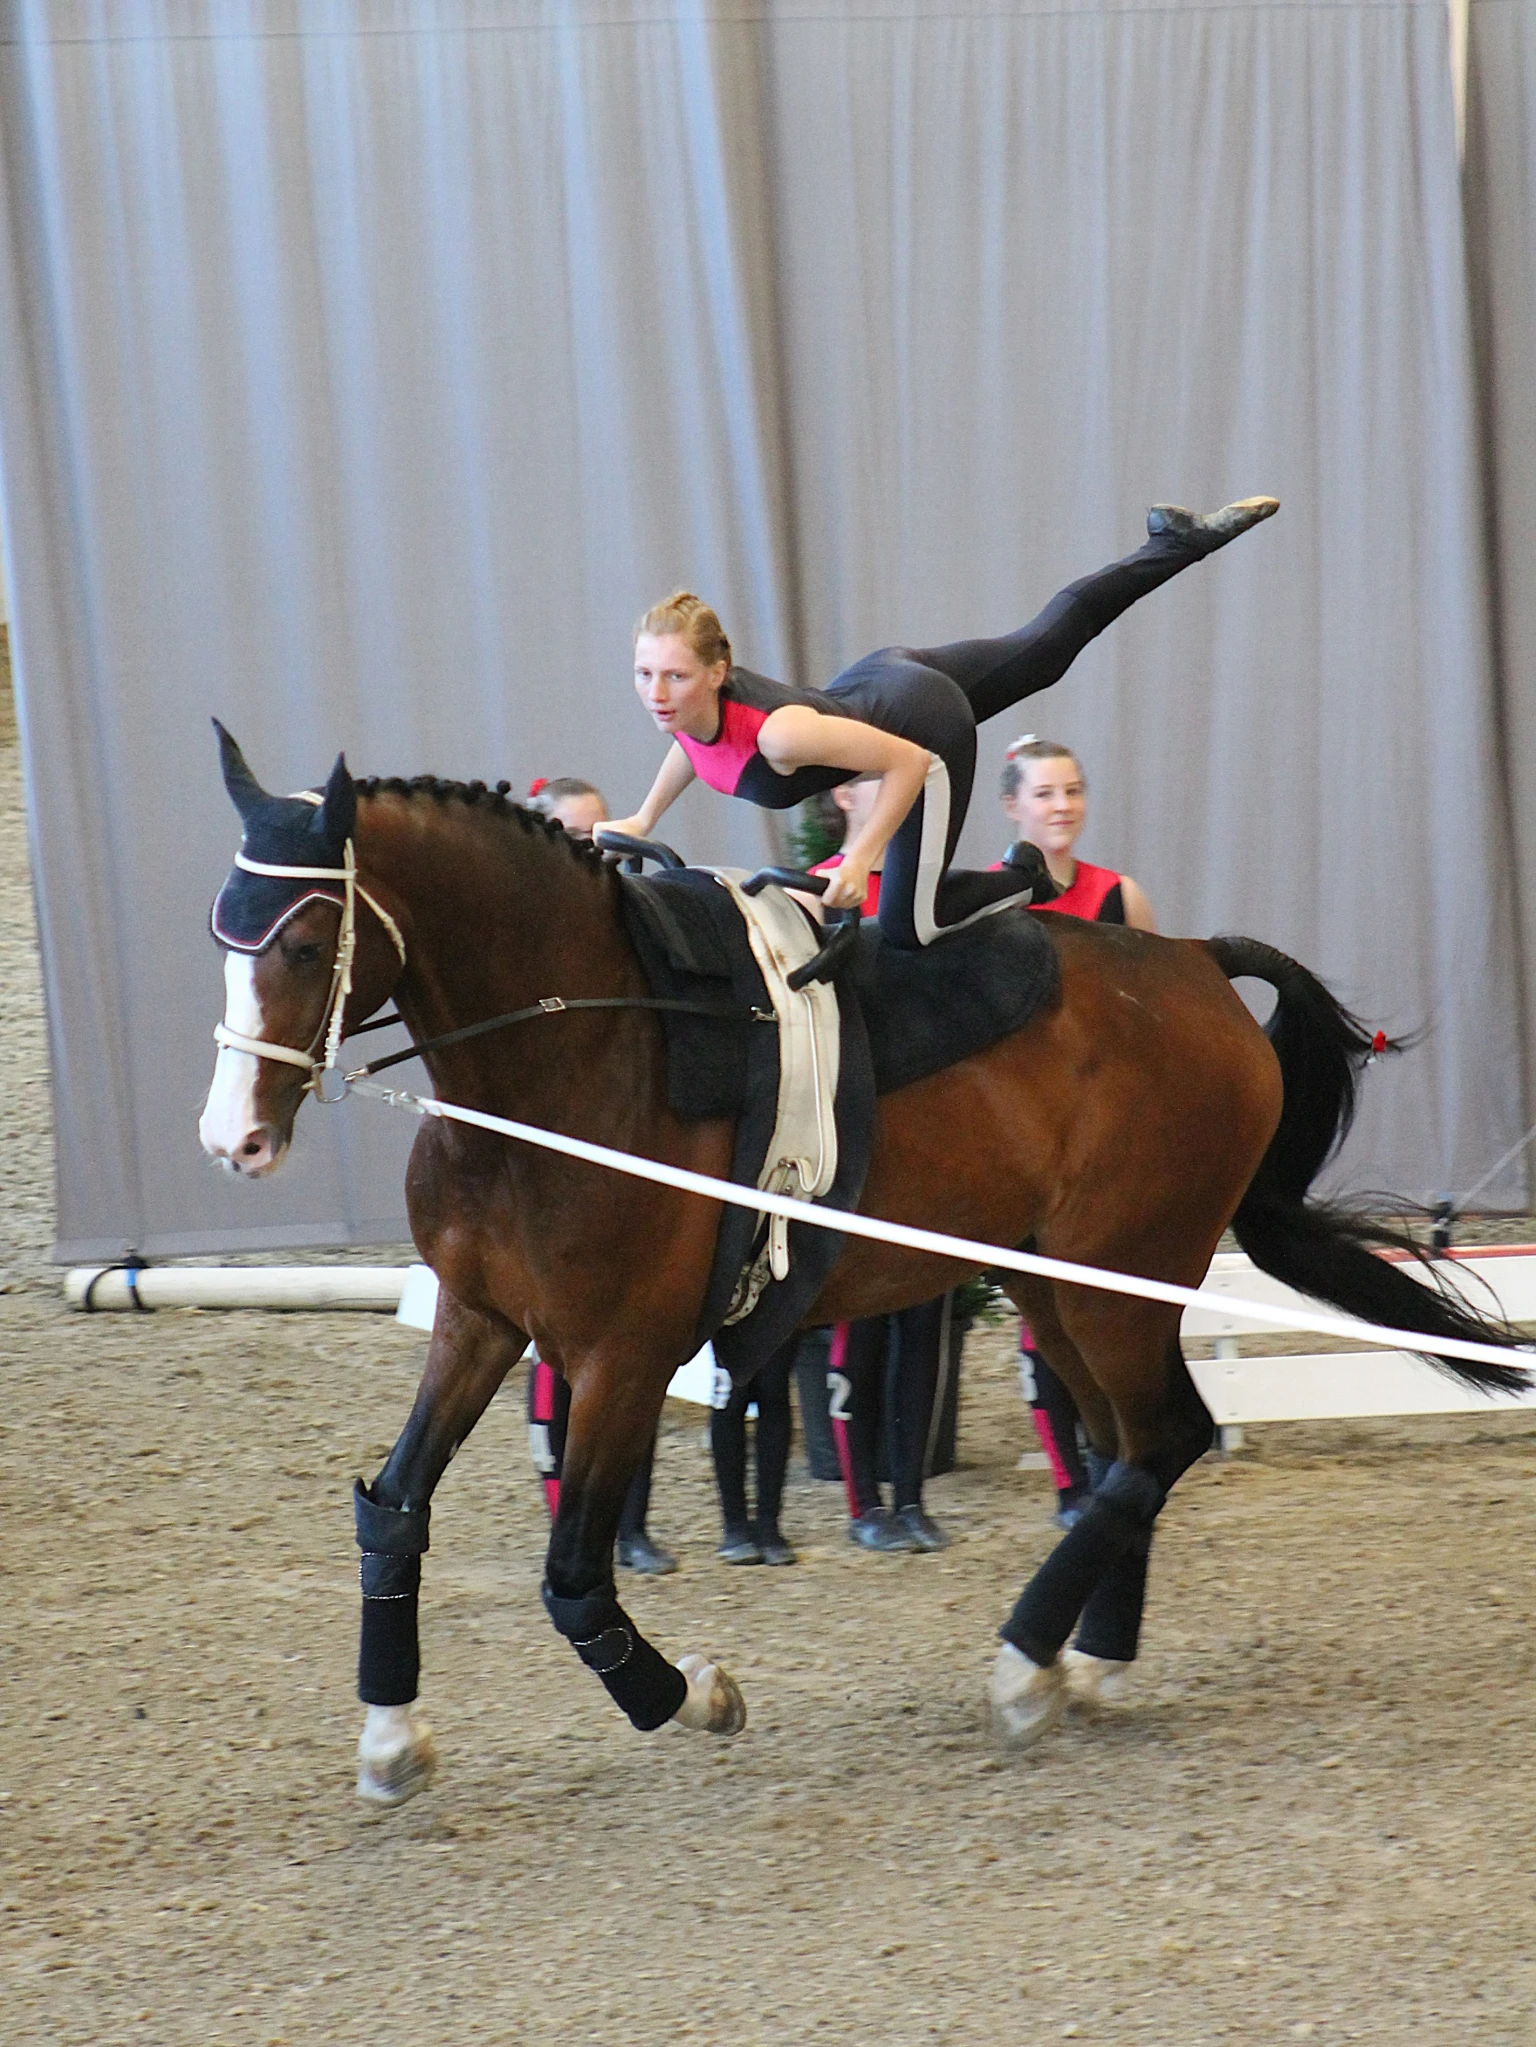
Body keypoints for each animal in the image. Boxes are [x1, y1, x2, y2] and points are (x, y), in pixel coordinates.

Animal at [197, 732, 1529, 1804]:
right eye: (219, 937)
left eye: (307, 943)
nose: (234, 1140)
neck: (565, 1055)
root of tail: (1193, 958)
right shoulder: (480, 1321)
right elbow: (393, 1508)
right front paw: (388, 1739)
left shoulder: (622, 1353)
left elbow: (574, 1574)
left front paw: (695, 1695)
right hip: (1054, 1280)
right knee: (1126, 1450)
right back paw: (1083, 1663)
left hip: (1115, 1274)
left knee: (1161, 1439)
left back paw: (1025, 1666)